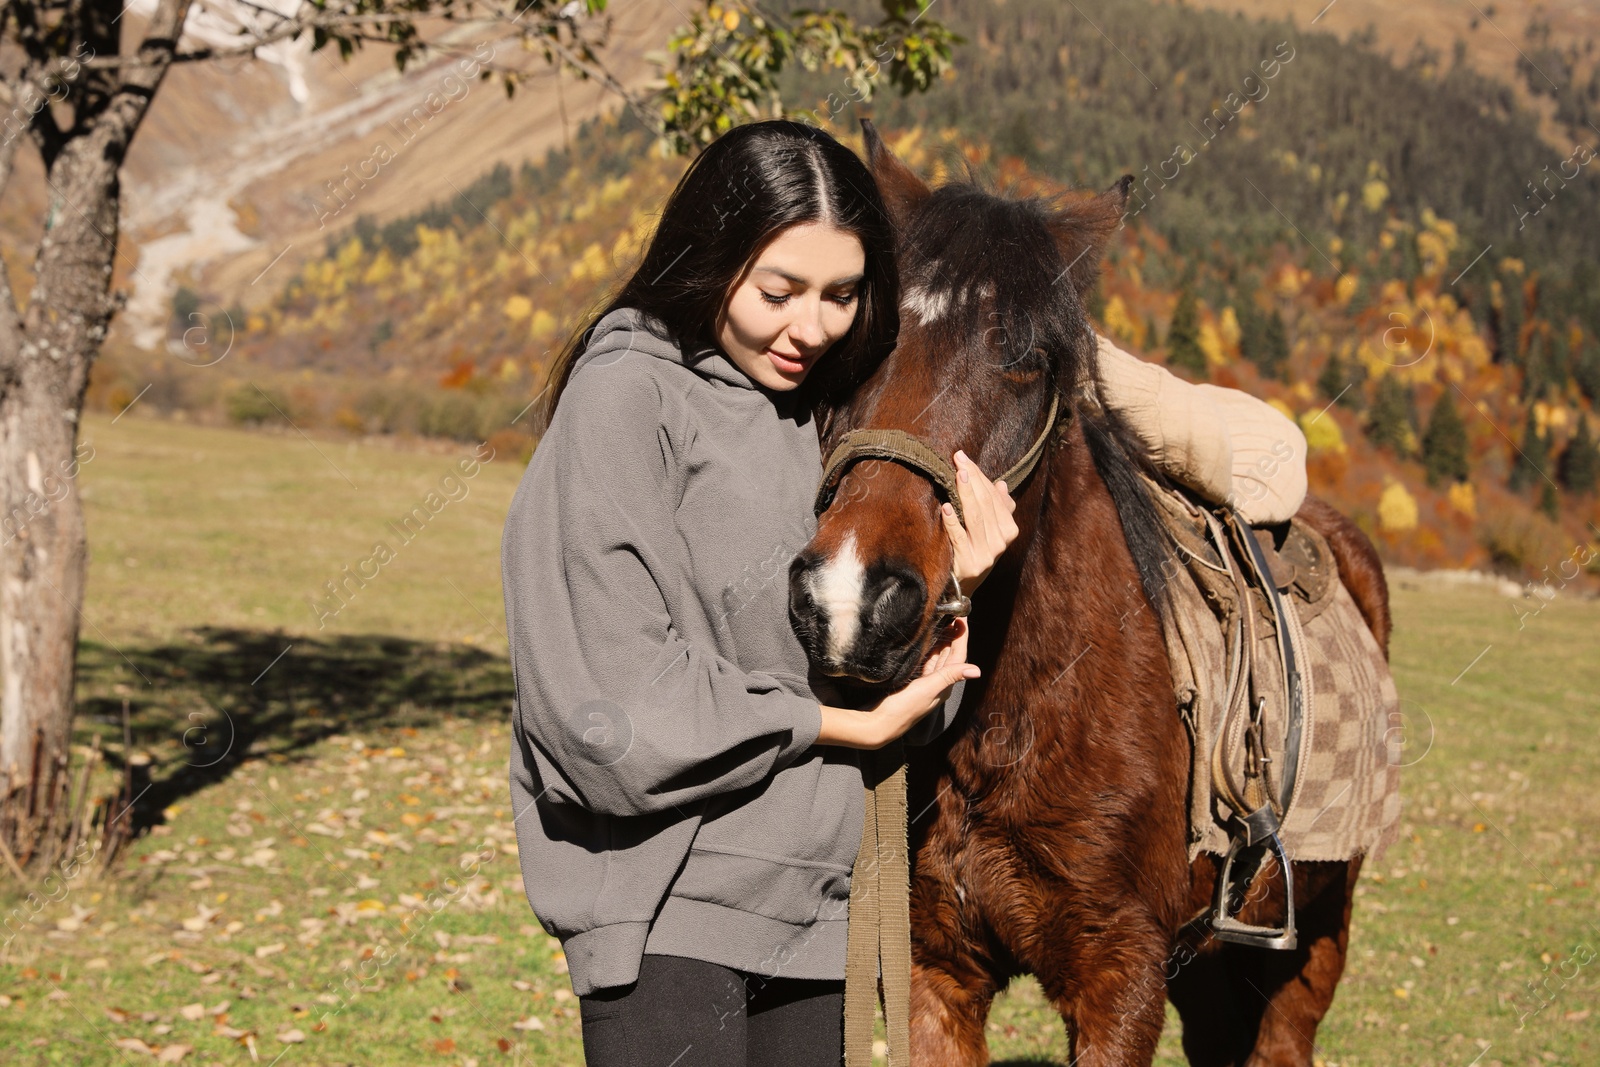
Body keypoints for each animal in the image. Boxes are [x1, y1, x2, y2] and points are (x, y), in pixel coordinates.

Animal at [793, 127, 1395, 1067]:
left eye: (1029, 361)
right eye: (860, 347)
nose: (851, 596)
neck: (1021, 711)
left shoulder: (1122, 980)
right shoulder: (935, 969)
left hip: (1315, 942)